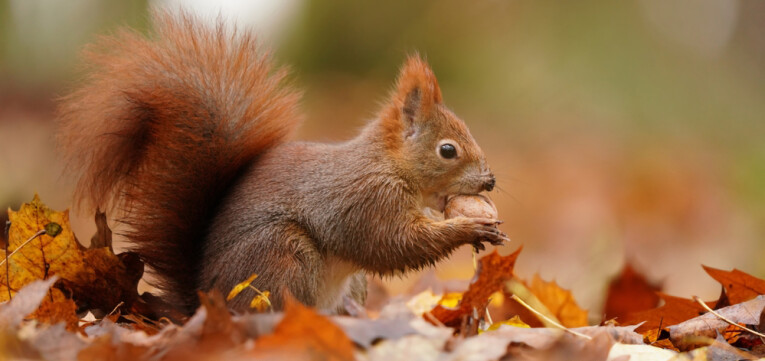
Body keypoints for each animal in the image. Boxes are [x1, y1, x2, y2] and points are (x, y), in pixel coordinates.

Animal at [56, 12, 504, 314]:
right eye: (448, 150)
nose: (490, 181)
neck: (388, 164)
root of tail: (204, 300)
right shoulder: (364, 200)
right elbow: (393, 243)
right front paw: (469, 229)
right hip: (281, 255)